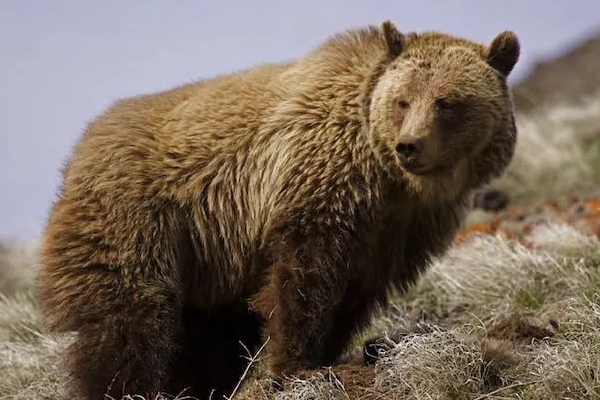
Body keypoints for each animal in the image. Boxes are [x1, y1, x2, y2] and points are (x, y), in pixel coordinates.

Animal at [37, 21, 516, 400]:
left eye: (447, 101)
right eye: (403, 100)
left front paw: (326, 354)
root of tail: (83, 145)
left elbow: (353, 291)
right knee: (128, 317)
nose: (409, 146)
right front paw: (296, 364)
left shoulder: (398, 230)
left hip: (207, 258)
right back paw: (126, 387)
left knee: (208, 336)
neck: (389, 179)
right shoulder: (321, 182)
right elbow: (303, 277)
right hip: (134, 218)